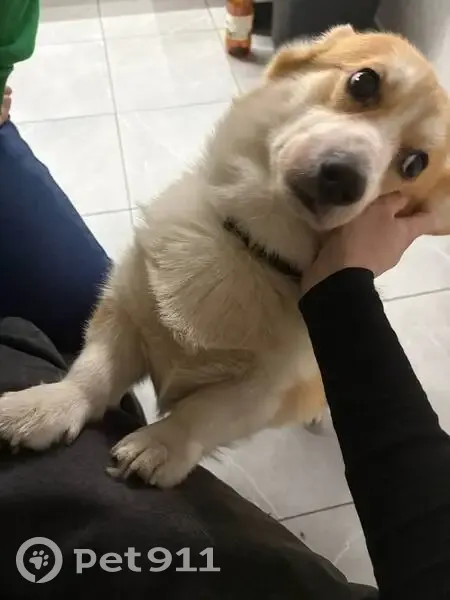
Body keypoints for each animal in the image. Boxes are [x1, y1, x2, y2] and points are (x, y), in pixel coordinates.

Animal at [1, 26, 450, 487]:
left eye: (414, 165)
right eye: (363, 82)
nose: (345, 179)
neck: (251, 247)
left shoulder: (262, 392)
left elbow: (204, 414)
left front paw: (159, 445)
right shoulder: (124, 316)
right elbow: (93, 372)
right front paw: (48, 406)